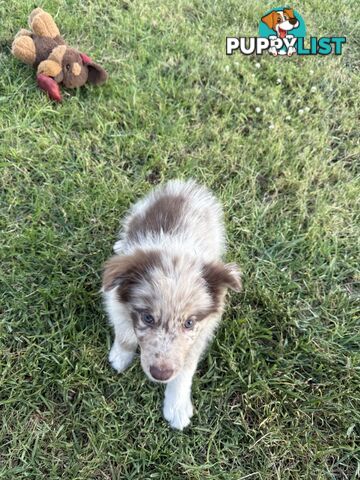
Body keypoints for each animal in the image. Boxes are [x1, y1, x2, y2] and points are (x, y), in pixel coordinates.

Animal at [102, 180, 242, 432]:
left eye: (189, 323)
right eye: (147, 318)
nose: (160, 374)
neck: (175, 249)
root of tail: (183, 186)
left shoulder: (201, 333)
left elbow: (185, 369)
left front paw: (177, 407)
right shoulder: (114, 301)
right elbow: (125, 334)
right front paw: (120, 357)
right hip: (137, 212)